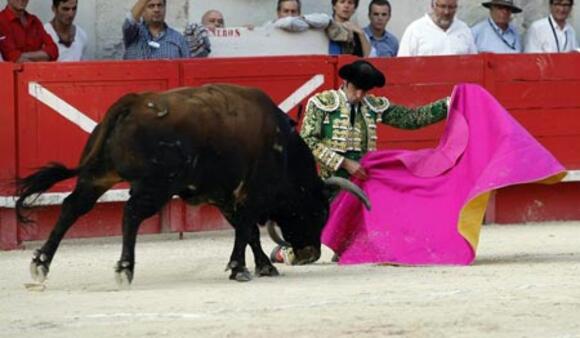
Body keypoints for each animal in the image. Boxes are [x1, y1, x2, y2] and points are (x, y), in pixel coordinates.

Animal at [17, 83, 368, 284]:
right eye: (319, 212)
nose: (309, 253)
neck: (282, 152)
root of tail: (132, 103)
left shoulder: (223, 196)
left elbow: (249, 232)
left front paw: (263, 266)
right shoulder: (250, 195)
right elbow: (246, 229)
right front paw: (240, 268)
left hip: (98, 175)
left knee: (72, 207)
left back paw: (41, 263)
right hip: (155, 186)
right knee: (130, 213)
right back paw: (125, 268)